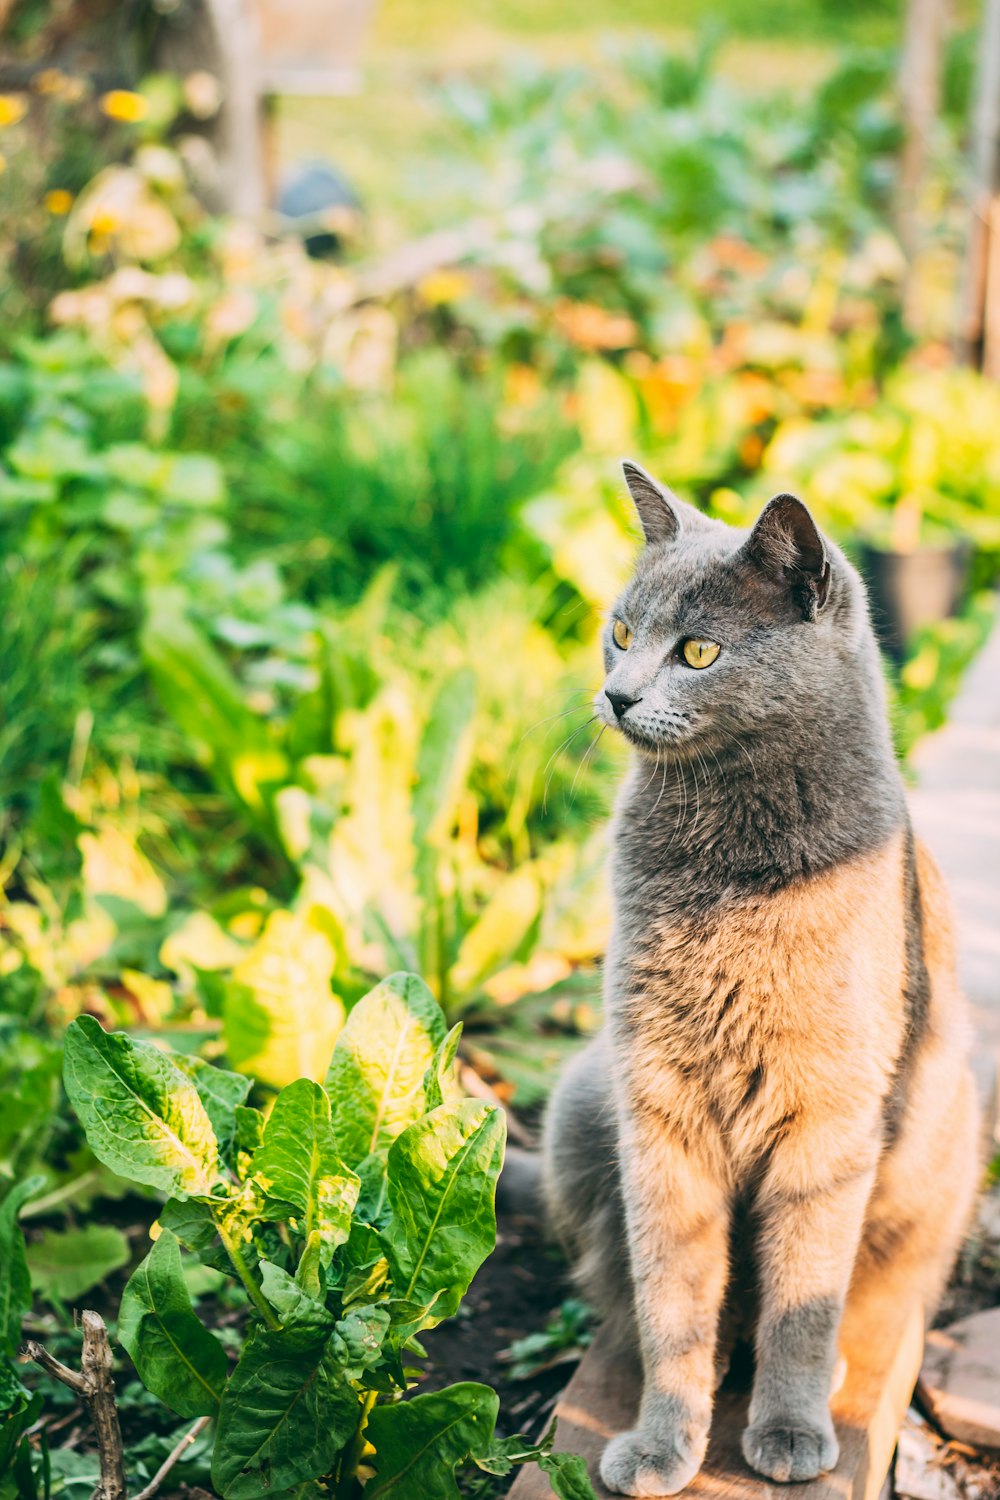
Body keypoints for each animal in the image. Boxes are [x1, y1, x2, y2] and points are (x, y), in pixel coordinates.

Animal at [542, 462, 983, 1494]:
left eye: (699, 651)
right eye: (621, 631)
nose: (616, 694)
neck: (732, 866)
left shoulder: (831, 1112)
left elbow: (804, 1299)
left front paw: (787, 1432)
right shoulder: (657, 1102)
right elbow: (672, 1293)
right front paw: (663, 1441)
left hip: (944, 1125)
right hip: (582, 1095)